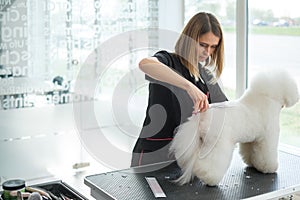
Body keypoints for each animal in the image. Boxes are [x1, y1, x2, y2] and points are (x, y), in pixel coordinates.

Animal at [170, 69, 298, 187]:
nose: (296, 97)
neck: (266, 99)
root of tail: (203, 115)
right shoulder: (267, 138)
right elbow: (267, 154)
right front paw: (269, 168)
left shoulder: (252, 140)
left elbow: (250, 151)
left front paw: (252, 163)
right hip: (217, 144)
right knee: (211, 163)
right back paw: (208, 177)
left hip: (202, 142)